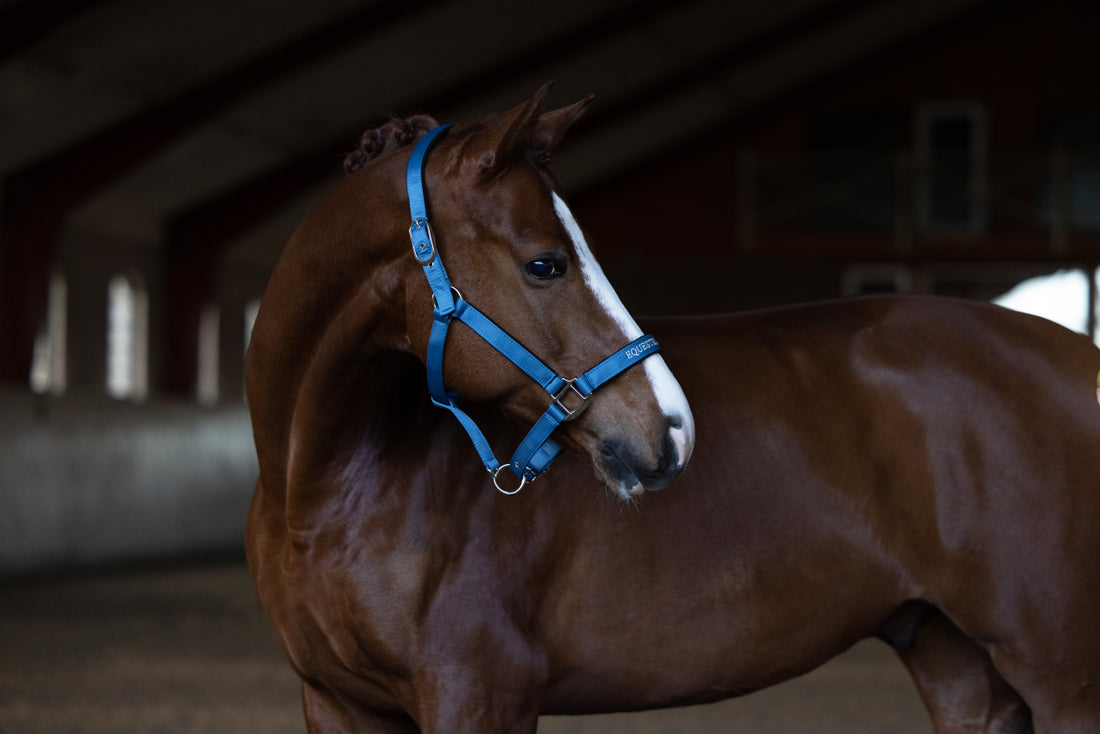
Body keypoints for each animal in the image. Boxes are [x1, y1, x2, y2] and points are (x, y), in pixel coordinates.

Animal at [245, 83, 1100, 730]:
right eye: (546, 263)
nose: (672, 431)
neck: (325, 490)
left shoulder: (477, 694)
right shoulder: (338, 703)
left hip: (1061, 676)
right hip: (957, 658)